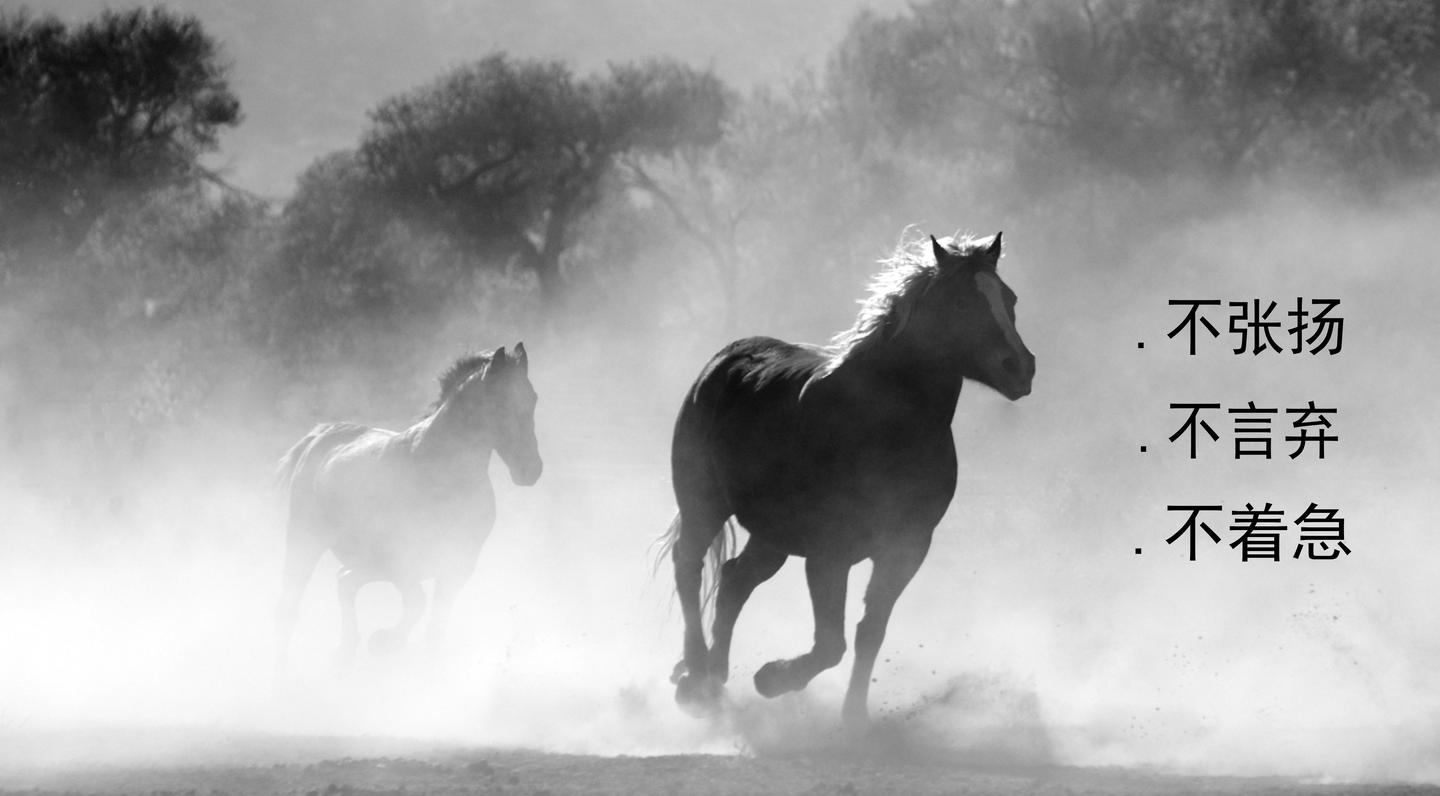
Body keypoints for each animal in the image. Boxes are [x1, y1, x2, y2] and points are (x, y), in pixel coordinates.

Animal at [270, 342, 541, 670]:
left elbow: (435, 627)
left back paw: (344, 653)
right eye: (500, 402)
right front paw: (383, 642)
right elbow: (417, 604)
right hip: (305, 540)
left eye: (533, 398)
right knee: (291, 603)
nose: (531, 470)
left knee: (344, 581)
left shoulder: (459, 564)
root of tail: (321, 436)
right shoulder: (401, 559)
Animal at [662, 231, 1036, 725]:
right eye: (960, 302)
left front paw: (853, 717)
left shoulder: (906, 548)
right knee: (689, 567)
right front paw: (772, 678)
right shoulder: (829, 554)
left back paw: (714, 678)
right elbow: (830, 644)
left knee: (734, 579)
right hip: (703, 504)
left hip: (772, 535)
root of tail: (723, 361)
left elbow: (869, 632)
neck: (883, 426)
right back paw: (696, 676)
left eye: (1009, 299)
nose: (1021, 367)